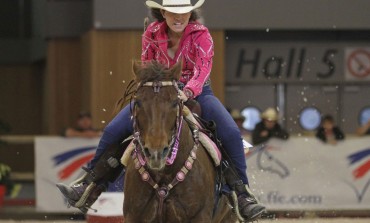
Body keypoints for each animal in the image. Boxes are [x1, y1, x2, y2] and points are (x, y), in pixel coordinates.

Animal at [122, 60, 237, 222]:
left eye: (175, 102)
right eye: (138, 102)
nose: (156, 153)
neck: (164, 177)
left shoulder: (200, 216)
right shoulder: (133, 216)